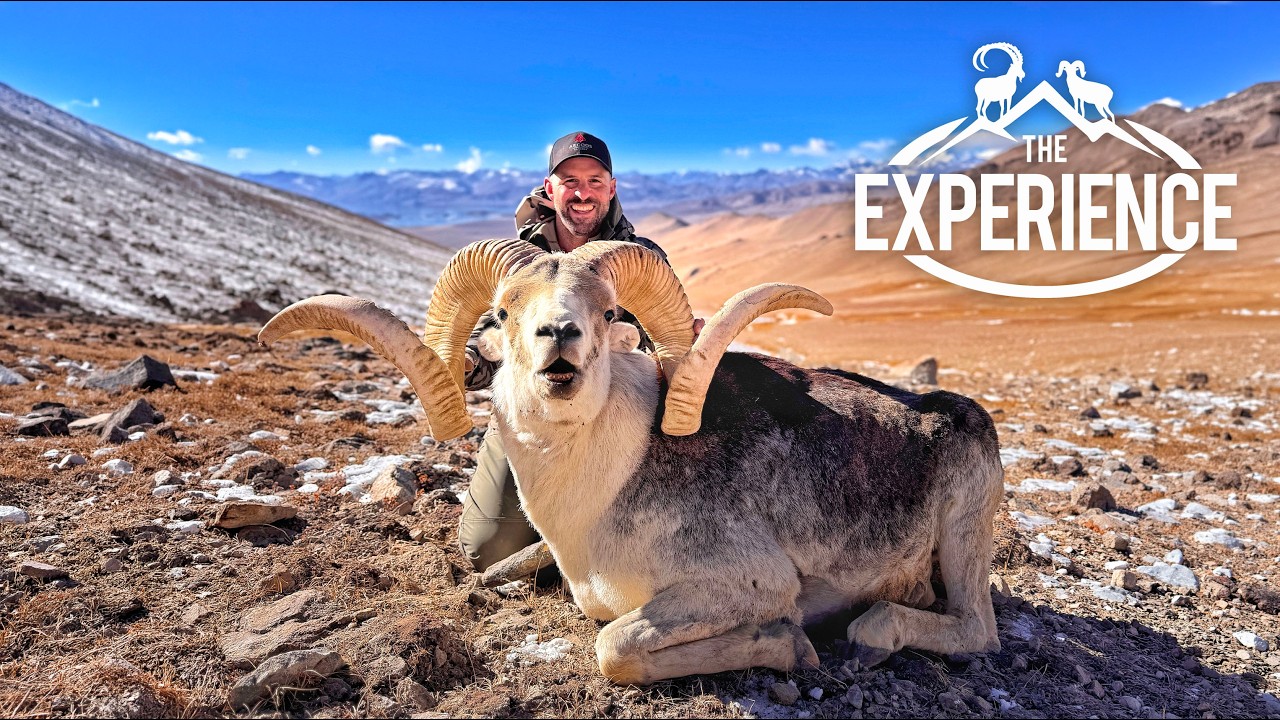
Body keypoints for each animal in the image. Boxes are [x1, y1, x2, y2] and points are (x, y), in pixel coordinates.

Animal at [258, 238, 1004, 684]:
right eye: (502, 312)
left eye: (609, 309)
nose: (559, 334)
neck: (594, 500)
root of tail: (966, 417)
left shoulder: (744, 585)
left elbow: (614, 647)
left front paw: (787, 645)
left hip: (962, 541)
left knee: (977, 631)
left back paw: (873, 632)